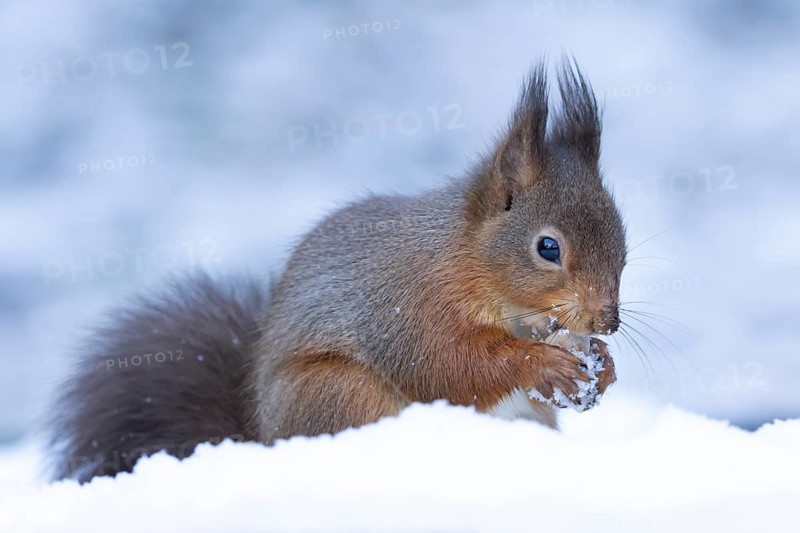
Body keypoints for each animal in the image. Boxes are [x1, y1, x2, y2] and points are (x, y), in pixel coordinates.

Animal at [48, 59, 627, 483]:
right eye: (547, 247)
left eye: (622, 235)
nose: (607, 321)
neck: (468, 261)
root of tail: (263, 438)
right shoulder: (411, 305)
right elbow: (448, 366)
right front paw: (542, 364)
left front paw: (601, 364)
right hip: (340, 393)